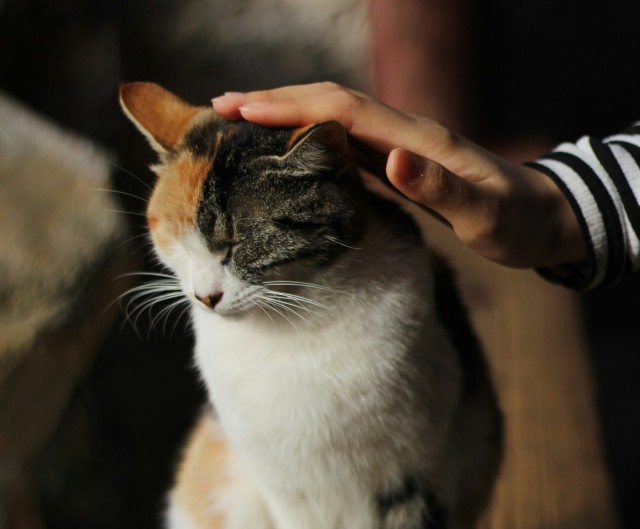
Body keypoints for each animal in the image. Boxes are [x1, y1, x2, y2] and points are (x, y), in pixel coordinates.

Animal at [119, 82, 500, 528]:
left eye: (237, 244)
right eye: (179, 241)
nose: (205, 296)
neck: (293, 326)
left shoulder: (420, 472)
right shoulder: (285, 492)